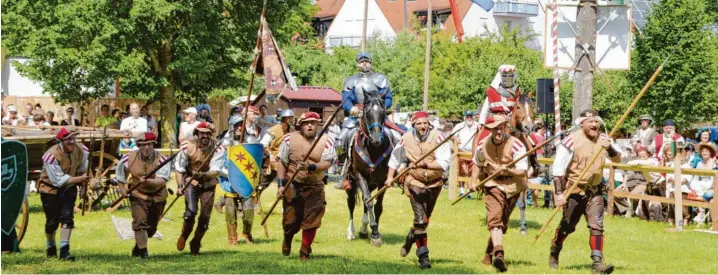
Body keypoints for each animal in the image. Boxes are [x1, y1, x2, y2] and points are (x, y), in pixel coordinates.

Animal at [344, 94, 396, 247]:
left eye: (383, 113)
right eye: (367, 114)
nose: (377, 139)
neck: (373, 148)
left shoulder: (383, 181)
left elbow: (377, 205)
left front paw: (375, 232)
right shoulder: (359, 176)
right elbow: (368, 201)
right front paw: (374, 231)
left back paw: (363, 229)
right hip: (351, 182)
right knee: (351, 203)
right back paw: (351, 232)